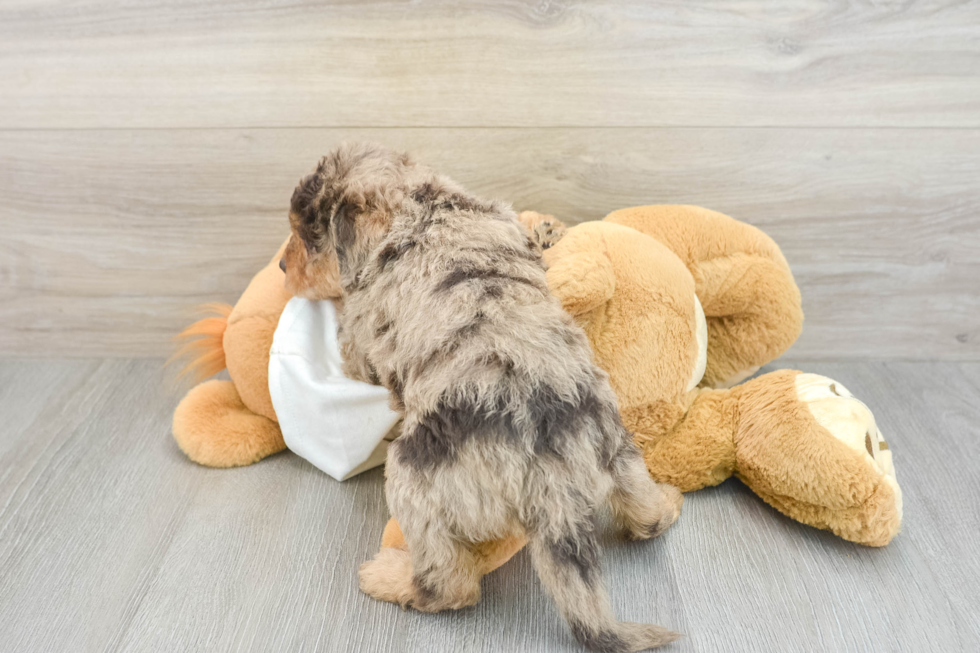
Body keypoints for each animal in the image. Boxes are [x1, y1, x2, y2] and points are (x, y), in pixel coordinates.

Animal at [282, 144, 680, 652]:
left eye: (307, 239)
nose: (280, 268)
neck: (419, 205)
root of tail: (552, 476)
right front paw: (544, 227)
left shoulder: (360, 340)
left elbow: (352, 346)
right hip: (619, 448)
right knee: (647, 516)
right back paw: (669, 501)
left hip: (413, 479)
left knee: (450, 584)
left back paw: (389, 577)